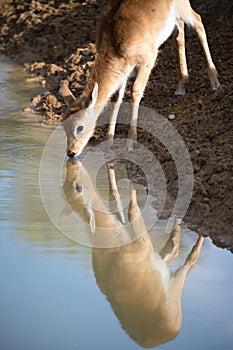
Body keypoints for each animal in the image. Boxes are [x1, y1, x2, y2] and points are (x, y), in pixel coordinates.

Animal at [60, 0, 220, 157]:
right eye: (64, 125)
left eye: (79, 127)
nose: (71, 153)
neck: (114, 46)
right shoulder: (124, 71)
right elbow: (117, 98)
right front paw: (109, 139)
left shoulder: (148, 58)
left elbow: (136, 91)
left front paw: (130, 143)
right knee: (180, 30)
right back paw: (180, 88)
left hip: (183, 8)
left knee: (198, 21)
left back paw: (215, 83)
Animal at [61, 158, 203, 348]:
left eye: (77, 187)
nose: (72, 157)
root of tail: (169, 334)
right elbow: (124, 203)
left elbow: (128, 206)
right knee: (179, 252)